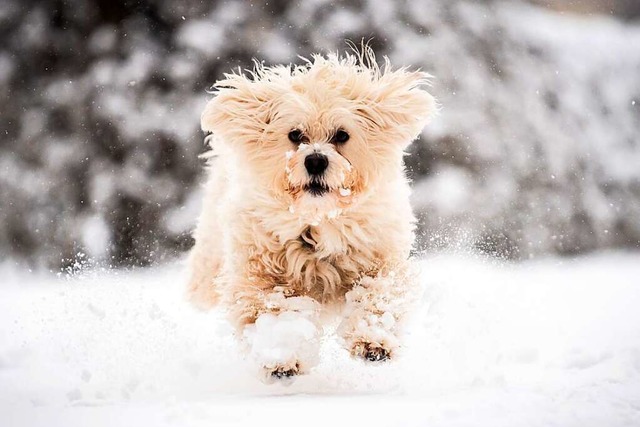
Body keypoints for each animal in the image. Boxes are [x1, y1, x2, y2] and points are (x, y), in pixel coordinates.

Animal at [185, 48, 436, 382]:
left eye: (342, 135)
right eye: (295, 134)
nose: (315, 160)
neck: (318, 219)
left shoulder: (380, 259)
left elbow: (377, 295)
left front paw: (373, 340)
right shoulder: (261, 274)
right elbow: (276, 310)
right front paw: (282, 356)